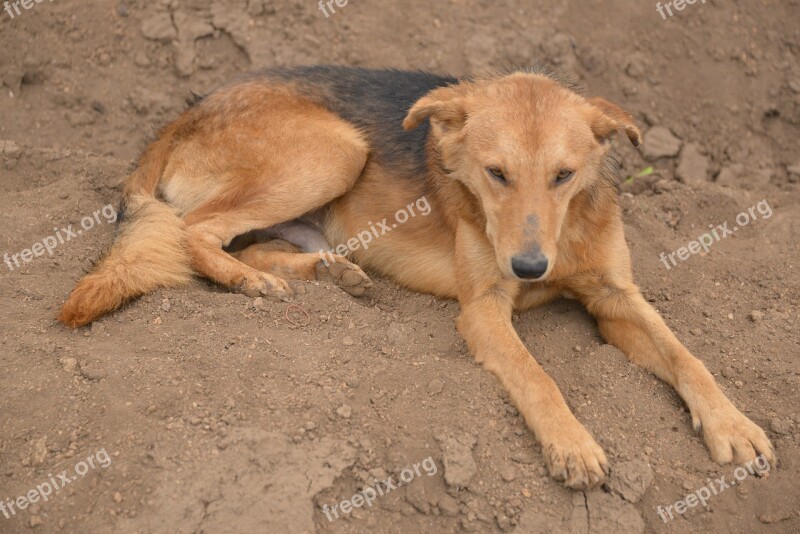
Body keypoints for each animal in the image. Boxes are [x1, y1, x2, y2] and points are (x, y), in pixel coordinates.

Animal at [59, 66, 772, 490]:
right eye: (495, 174)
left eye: (565, 176)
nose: (529, 267)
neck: (561, 236)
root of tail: (184, 112)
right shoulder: (483, 309)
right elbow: (537, 377)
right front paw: (571, 444)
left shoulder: (616, 299)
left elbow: (688, 357)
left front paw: (734, 427)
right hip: (336, 150)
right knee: (193, 228)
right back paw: (248, 284)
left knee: (250, 242)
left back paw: (328, 272)